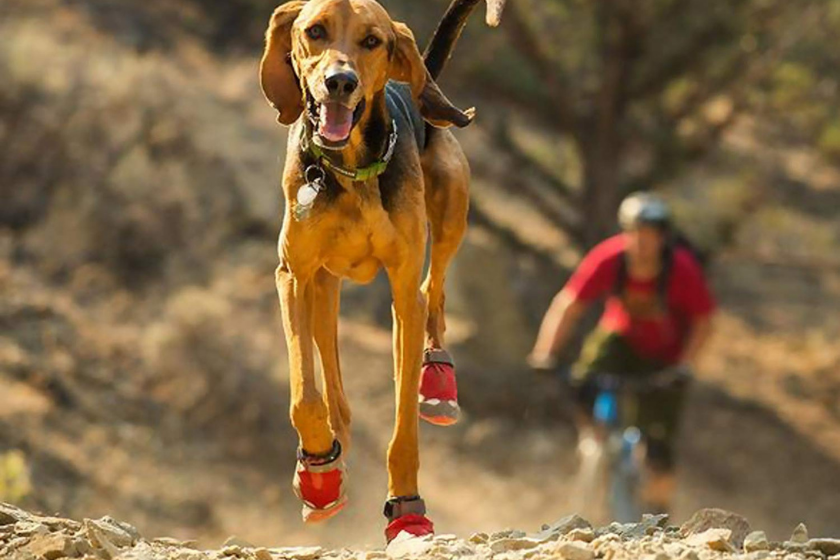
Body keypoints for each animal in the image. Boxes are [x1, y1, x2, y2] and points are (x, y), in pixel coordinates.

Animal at [260, 0, 502, 544]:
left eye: (373, 40)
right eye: (315, 31)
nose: (340, 82)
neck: (349, 168)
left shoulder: (402, 287)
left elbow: (403, 427)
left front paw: (407, 508)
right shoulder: (293, 275)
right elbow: (306, 397)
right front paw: (319, 471)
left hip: (450, 213)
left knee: (434, 293)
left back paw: (437, 380)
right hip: (324, 287)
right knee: (335, 389)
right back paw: (330, 457)